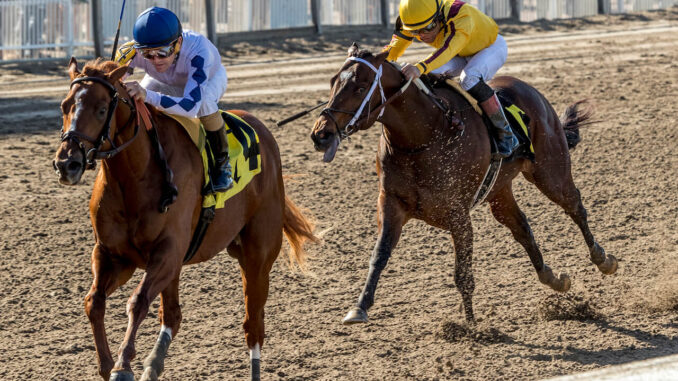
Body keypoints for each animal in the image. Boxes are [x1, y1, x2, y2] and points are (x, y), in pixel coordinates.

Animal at [53, 57, 318, 380]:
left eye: (102, 109)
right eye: (65, 106)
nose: (67, 163)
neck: (135, 177)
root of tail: (263, 133)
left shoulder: (167, 251)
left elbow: (137, 302)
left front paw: (123, 365)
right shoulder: (115, 255)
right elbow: (94, 302)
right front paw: (107, 365)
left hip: (257, 255)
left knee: (253, 325)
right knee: (173, 315)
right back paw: (153, 364)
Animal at [310, 43, 620, 324]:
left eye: (360, 87)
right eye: (332, 82)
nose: (321, 135)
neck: (422, 137)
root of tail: (532, 91)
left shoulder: (458, 214)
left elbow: (462, 274)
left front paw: (471, 327)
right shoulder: (391, 203)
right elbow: (379, 255)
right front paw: (359, 307)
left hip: (549, 172)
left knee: (575, 206)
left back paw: (603, 259)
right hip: (499, 191)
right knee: (522, 227)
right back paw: (554, 278)